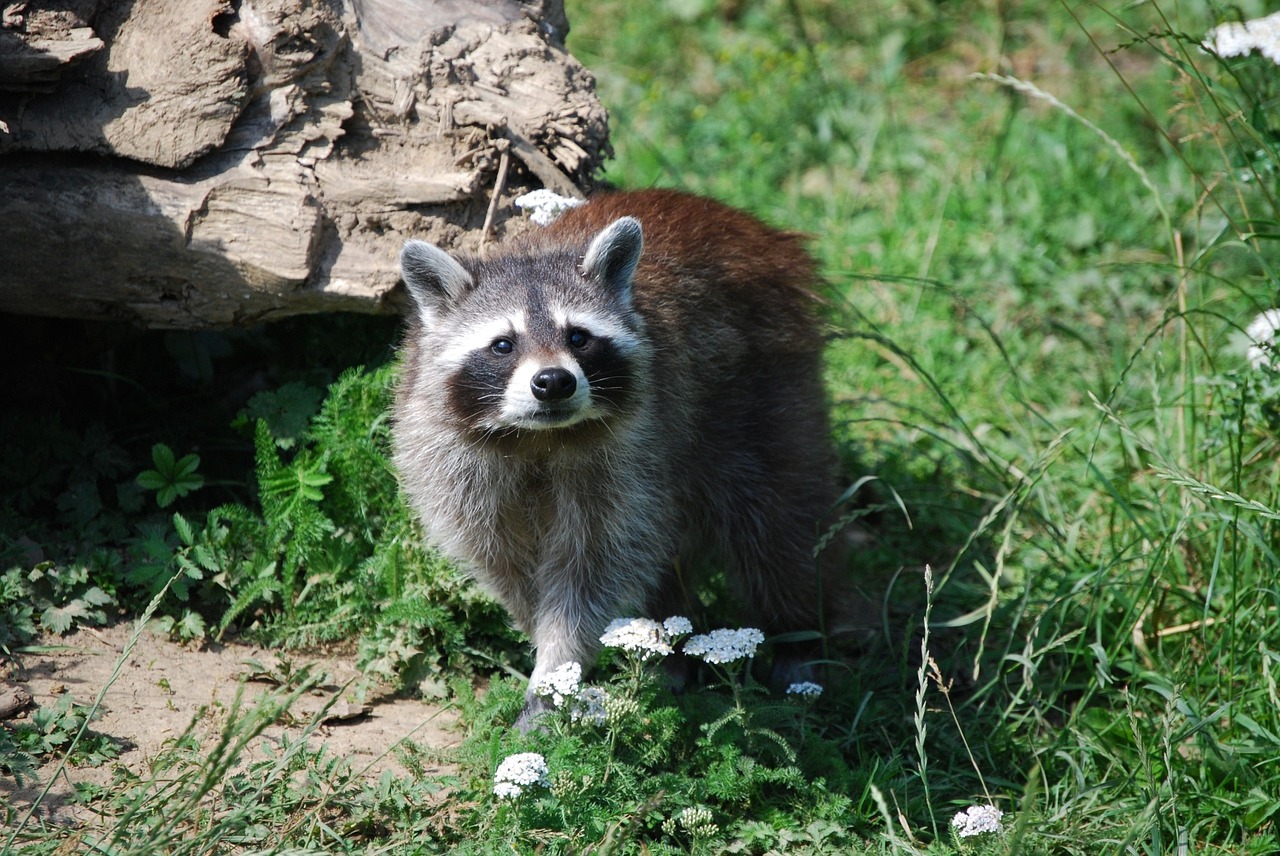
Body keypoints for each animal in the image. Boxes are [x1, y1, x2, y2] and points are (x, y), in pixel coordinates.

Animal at [394, 190, 844, 726]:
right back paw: (668, 648)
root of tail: (752, 227)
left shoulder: (631, 445)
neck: (538, 437)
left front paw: (557, 665)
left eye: (577, 337)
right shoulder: (451, 456)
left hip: (767, 390)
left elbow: (594, 565)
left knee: (778, 524)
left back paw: (797, 636)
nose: (553, 382)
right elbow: (507, 561)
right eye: (503, 344)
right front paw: (544, 645)